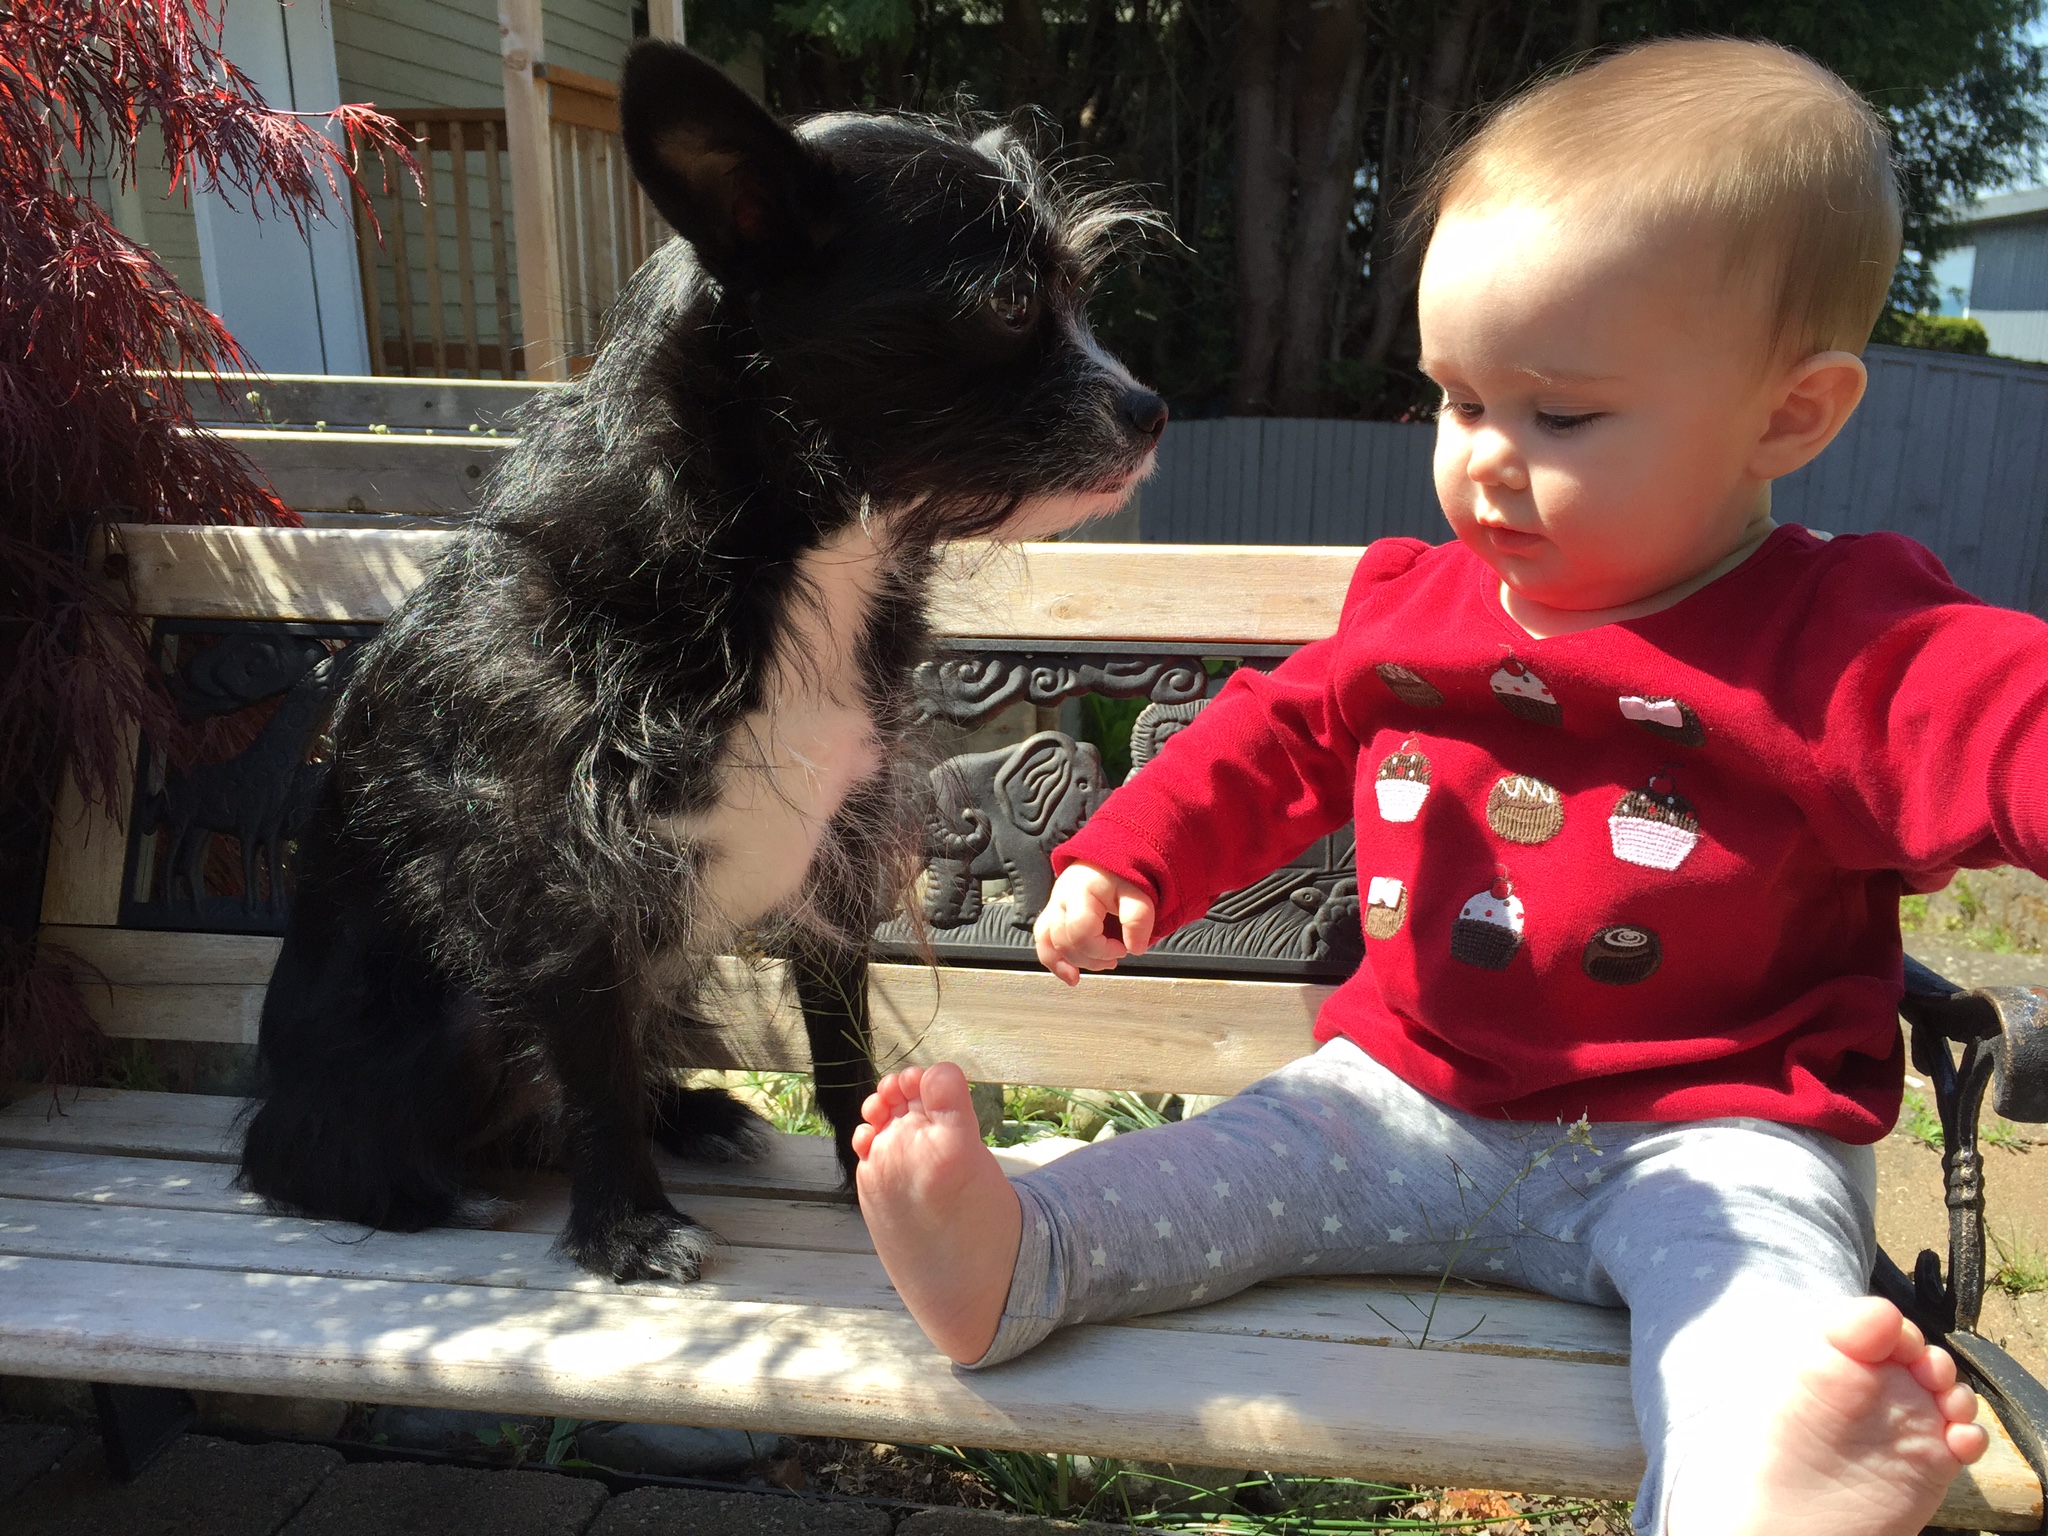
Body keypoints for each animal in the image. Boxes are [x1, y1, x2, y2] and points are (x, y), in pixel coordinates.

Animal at [236, 41, 1167, 1283]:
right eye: (1012, 302)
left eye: (1075, 296)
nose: (1150, 409)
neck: (777, 554)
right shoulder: (566, 879)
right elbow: (589, 1059)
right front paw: (626, 1227)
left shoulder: (839, 850)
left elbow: (837, 1031)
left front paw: (868, 1169)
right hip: (444, 1029)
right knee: (311, 1155)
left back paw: (687, 1112)